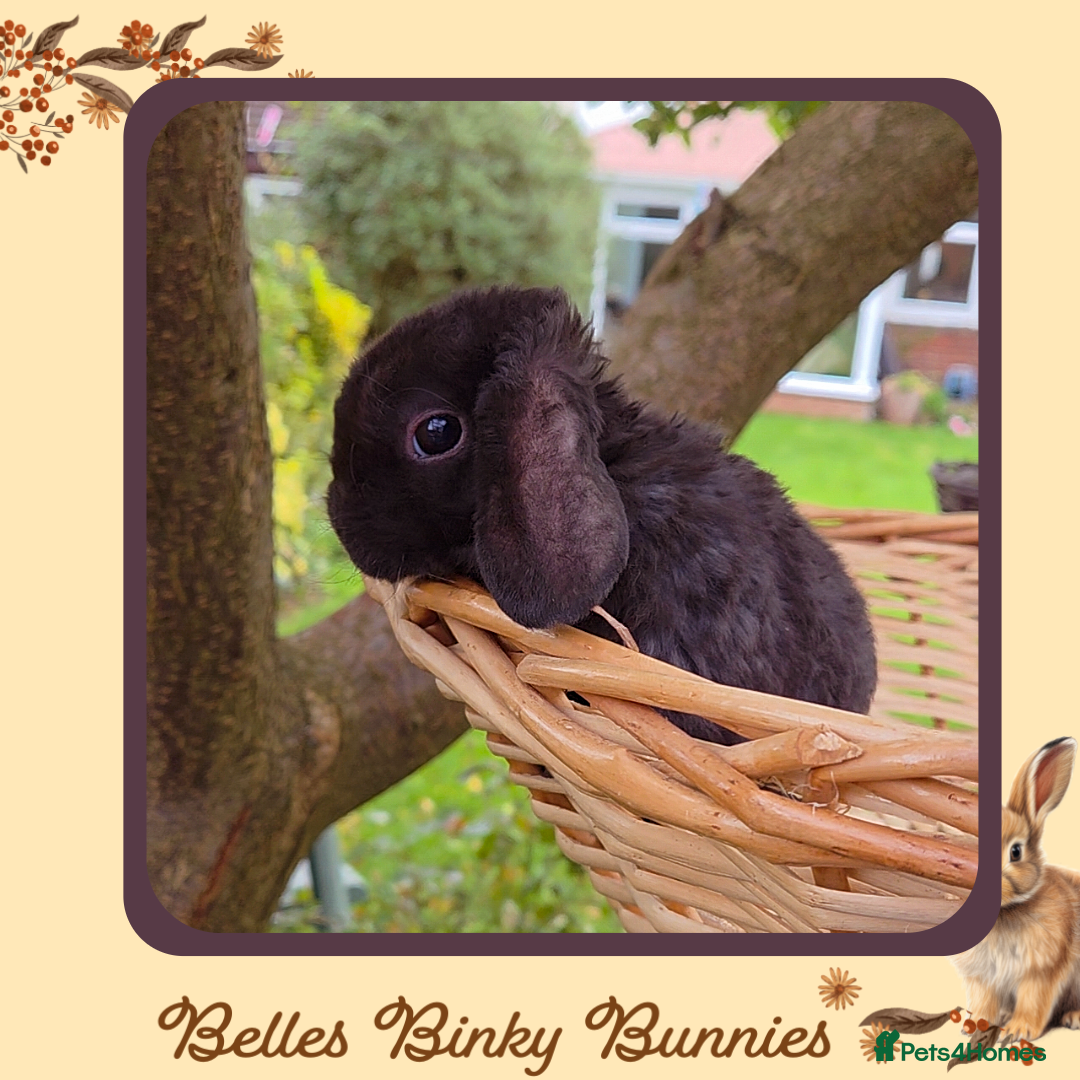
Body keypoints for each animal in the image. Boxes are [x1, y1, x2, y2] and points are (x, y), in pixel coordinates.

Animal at [952, 737, 1080, 1041]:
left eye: (1016, 851)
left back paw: (1073, 1018)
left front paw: (1017, 1032)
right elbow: (984, 1002)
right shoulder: (983, 977)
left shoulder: (1041, 971)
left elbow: (1033, 1001)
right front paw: (973, 1027)